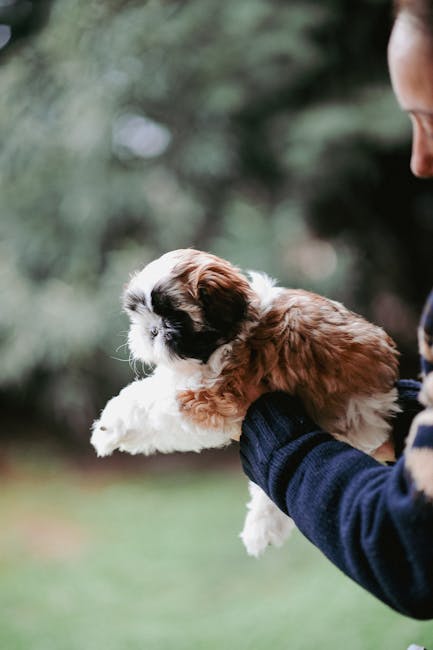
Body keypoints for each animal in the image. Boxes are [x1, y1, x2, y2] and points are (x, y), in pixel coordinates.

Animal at [90, 251, 398, 556]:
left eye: (176, 316)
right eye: (139, 313)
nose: (152, 330)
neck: (239, 331)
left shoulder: (212, 395)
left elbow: (152, 401)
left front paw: (109, 427)